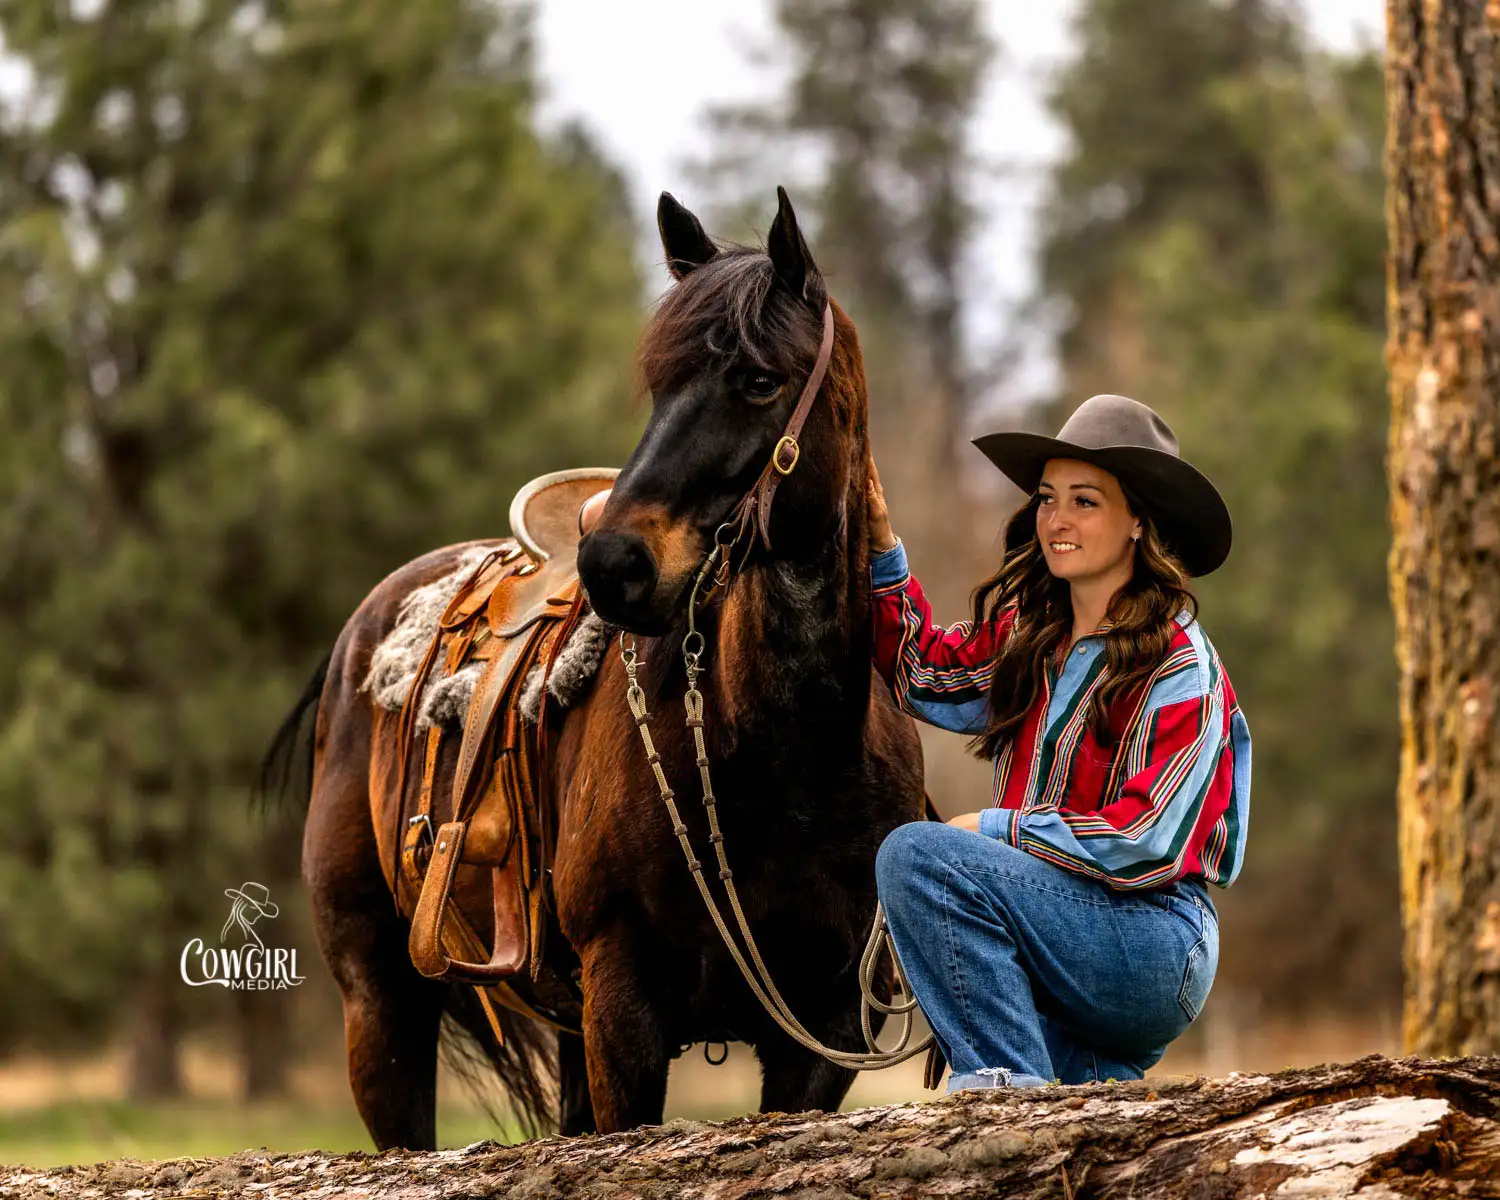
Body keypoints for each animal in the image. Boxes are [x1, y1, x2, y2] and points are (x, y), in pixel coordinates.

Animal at [261, 187, 925, 1147]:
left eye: (761, 379)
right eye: (660, 384)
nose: (613, 564)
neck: (787, 760)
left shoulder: (822, 1029)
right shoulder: (623, 1008)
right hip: (379, 1004)